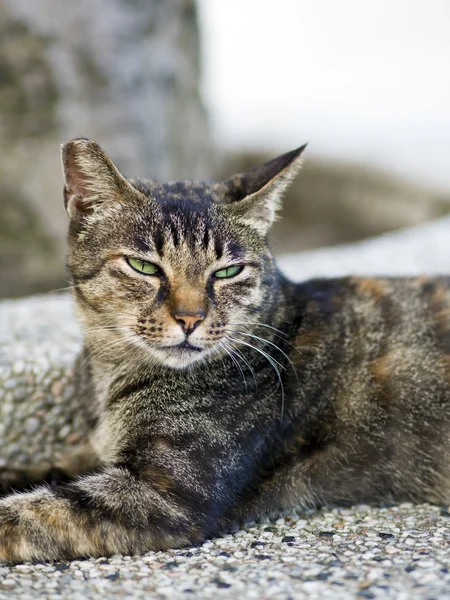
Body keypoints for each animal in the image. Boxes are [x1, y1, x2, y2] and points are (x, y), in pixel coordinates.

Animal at [0, 138, 450, 564]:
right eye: (144, 267)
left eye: (228, 271)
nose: (190, 318)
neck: (110, 372)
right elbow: (49, 469)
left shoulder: (165, 493)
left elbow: (31, 512)